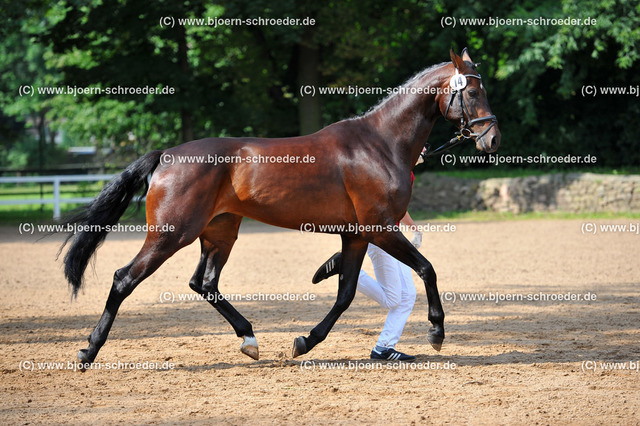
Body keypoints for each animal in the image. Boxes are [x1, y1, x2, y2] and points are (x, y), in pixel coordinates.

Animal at [60, 49, 500, 362]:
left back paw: (249, 338)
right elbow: (427, 269)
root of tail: (167, 155)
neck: (379, 143)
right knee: (124, 279)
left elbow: (345, 294)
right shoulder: (380, 228)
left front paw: (305, 341)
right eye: (472, 91)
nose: (492, 139)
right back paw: (89, 350)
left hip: (220, 232)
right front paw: (436, 332)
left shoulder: (357, 236)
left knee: (204, 283)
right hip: (170, 235)